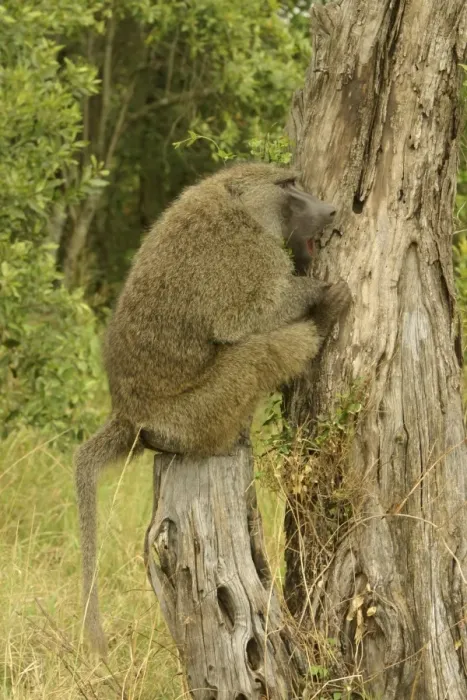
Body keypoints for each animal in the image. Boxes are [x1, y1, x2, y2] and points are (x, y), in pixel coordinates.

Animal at [74, 162, 351, 656]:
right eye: (288, 186)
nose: (330, 209)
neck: (238, 203)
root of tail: (128, 413)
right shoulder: (246, 255)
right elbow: (245, 319)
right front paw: (316, 292)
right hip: (192, 414)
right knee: (255, 351)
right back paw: (318, 324)